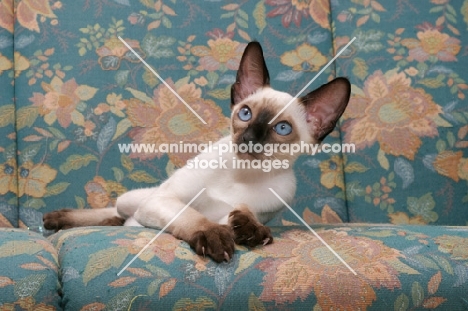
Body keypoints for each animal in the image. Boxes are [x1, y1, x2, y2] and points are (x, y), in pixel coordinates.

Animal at [44, 42, 352, 264]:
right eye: (245, 114)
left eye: (283, 128)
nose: (250, 139)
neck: (242, 175)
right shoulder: (165, 201)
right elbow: (192, 217)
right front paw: (213, 237)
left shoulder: (258, 208)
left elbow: (241, 214)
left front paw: (249, 229)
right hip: (138, 199)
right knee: (117, 212)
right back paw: (58, 219)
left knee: (120, 222)